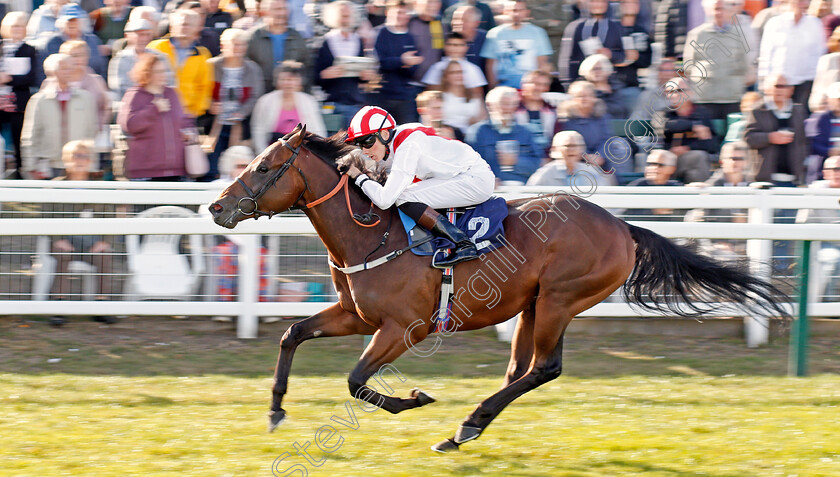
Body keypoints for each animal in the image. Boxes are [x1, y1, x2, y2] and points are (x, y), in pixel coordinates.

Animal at [208, 124, 788, 452]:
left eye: (264, 166)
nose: (215, 207)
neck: (369, 232)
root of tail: (623, 227)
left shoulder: (404, 328)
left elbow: (354, 381)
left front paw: (414, 398)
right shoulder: (355, 315)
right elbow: (292, 334)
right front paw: (275, 411)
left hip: (560, 299)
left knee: (545, 368)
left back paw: (466, 424)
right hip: (533, 305)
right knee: (521, 369)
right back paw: (467, 429)